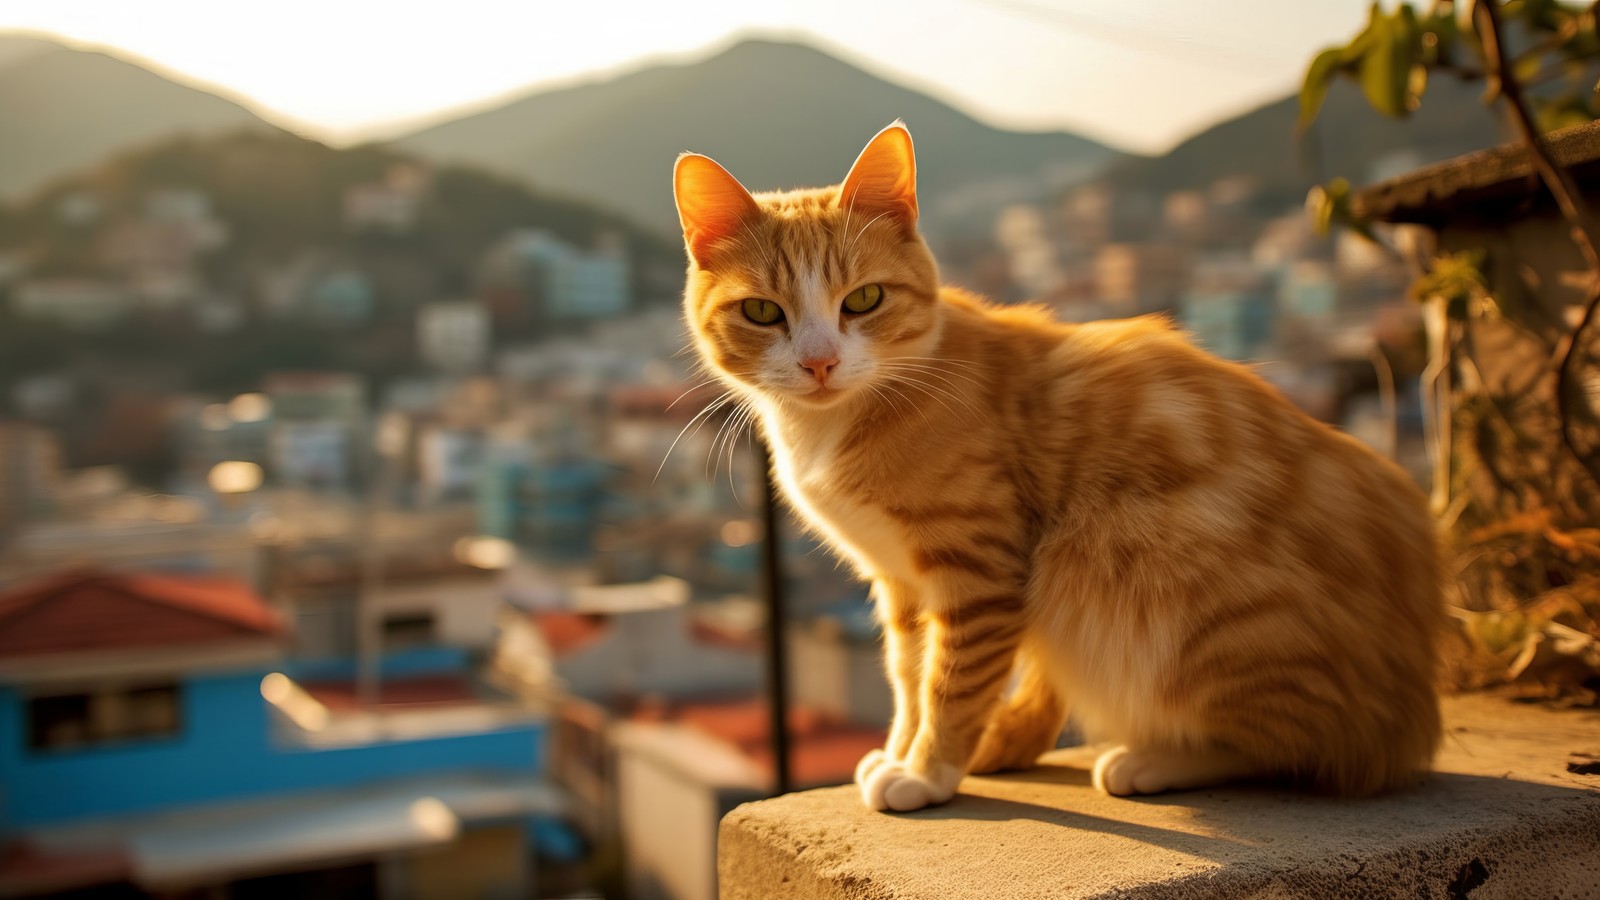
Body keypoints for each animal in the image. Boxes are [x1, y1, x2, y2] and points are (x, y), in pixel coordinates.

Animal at [668, 120, 1446, 813]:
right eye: (763, 312)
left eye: (863, 300)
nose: (820, 362)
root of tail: (1413, 715)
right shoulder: (901, 583)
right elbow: (908, 680)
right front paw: (899, 750)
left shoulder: (977, 573)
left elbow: (950, 686)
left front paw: (926, 772)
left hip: (1153, 583)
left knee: (1305, 746)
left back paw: (1155, 758)